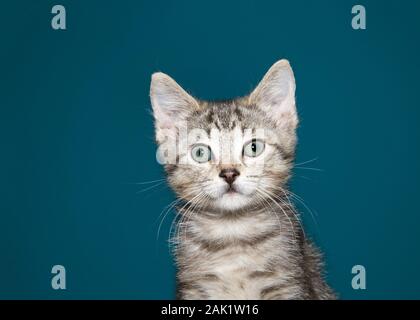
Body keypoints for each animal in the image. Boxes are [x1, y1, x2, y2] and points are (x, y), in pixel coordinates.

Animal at [149, 59, 336, 300]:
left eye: (254, 147)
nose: (229, 173)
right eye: (200, 153)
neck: (233, 235)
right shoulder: (194, 289)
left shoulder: (291, 284)